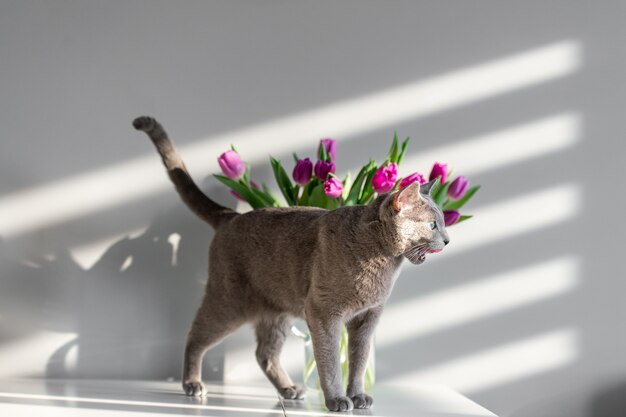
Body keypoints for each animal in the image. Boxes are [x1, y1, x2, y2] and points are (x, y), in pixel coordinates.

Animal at [132, 116, 448, 410]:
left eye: (443, 222)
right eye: (433, 224)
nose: (447, 240)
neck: (381, 262)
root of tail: (230, 216)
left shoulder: (367, 318)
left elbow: (357, 362)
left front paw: (357, 396)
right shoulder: (323, 313)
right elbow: (330, 362)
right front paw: (337, 400)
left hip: (276, 313)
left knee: (264, 354)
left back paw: (289, 390)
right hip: (228, 302)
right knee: (195, 336)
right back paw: (193, 384)